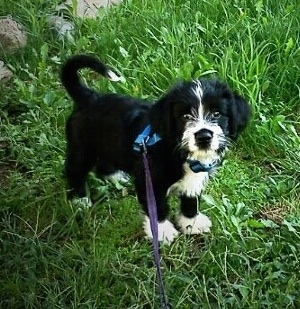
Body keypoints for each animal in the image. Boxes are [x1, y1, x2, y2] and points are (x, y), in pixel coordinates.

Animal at [61, 54, 251, 243]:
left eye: (217, 114)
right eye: (185, 116)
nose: (204, 136)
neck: (176, 150)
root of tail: (89, 97)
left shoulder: (193, 178)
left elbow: (190, 198)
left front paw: (191, 222)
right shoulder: (150, 181)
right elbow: (157, 208)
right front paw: (162, 232)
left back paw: (116, 177)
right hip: (82, 148)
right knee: (75, 170)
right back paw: (80, 201)